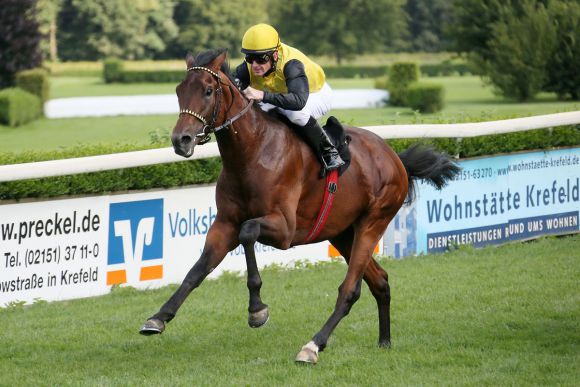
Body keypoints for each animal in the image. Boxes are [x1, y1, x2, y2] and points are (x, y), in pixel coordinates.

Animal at [139, 50, 458, 366]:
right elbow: (198, 269)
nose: (181, 140)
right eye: (179, 90)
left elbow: (248, 232)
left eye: (207, 91)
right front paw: (158, 318)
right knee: (379, 281)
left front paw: (257, 309)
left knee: (350, 290)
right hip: (343, 233)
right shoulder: (224, 224)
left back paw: (313, 346)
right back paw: (384, 342)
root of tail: (395, 158)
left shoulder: (284, 229)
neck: (252, 153)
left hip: (373, 222)